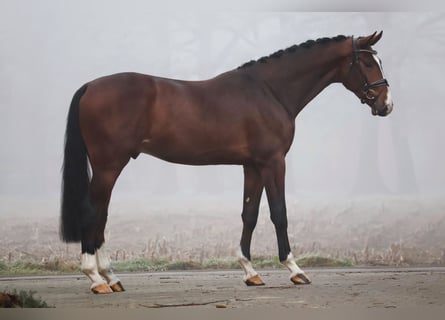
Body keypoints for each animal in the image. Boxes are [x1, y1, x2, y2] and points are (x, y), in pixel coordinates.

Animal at [59, 31, 392, 294]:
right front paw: (295, 270)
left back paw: (111, 277)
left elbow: (250, 215)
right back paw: (95, 278)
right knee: (91, 211)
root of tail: (90, 86)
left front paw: (250, 272)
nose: (386, 104)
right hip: (109, 165)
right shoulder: (274, 162)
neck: (269, 91)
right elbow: (279, 213)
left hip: (109, 167)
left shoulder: (253, 166)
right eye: (367, 63)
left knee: (101, 214)